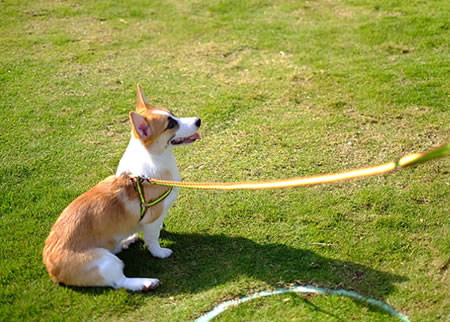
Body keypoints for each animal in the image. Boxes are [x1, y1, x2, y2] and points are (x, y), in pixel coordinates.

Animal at [43, 85, 201, 292]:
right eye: (171, 125)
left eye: (173, 114)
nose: (198, 121)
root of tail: (51, 268)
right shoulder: (151, 219)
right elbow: (153, 239)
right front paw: (160, 252)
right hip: (104, 262)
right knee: (119, 281)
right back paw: (146, 282)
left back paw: (127, 241)